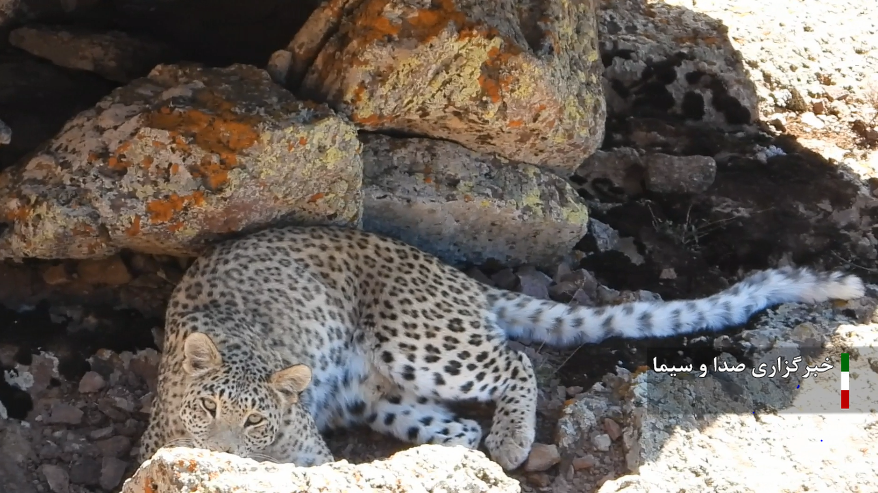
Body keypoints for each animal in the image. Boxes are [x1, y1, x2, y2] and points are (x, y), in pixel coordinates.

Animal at [138, 223, 868, 468]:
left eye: (253, 421)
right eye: (207, 411)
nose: (221, 452)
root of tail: (452, 272)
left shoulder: (307, 454)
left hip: (421, 339)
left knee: (513, 360)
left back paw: (513, 442)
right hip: (382, 397)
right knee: (457, 426)